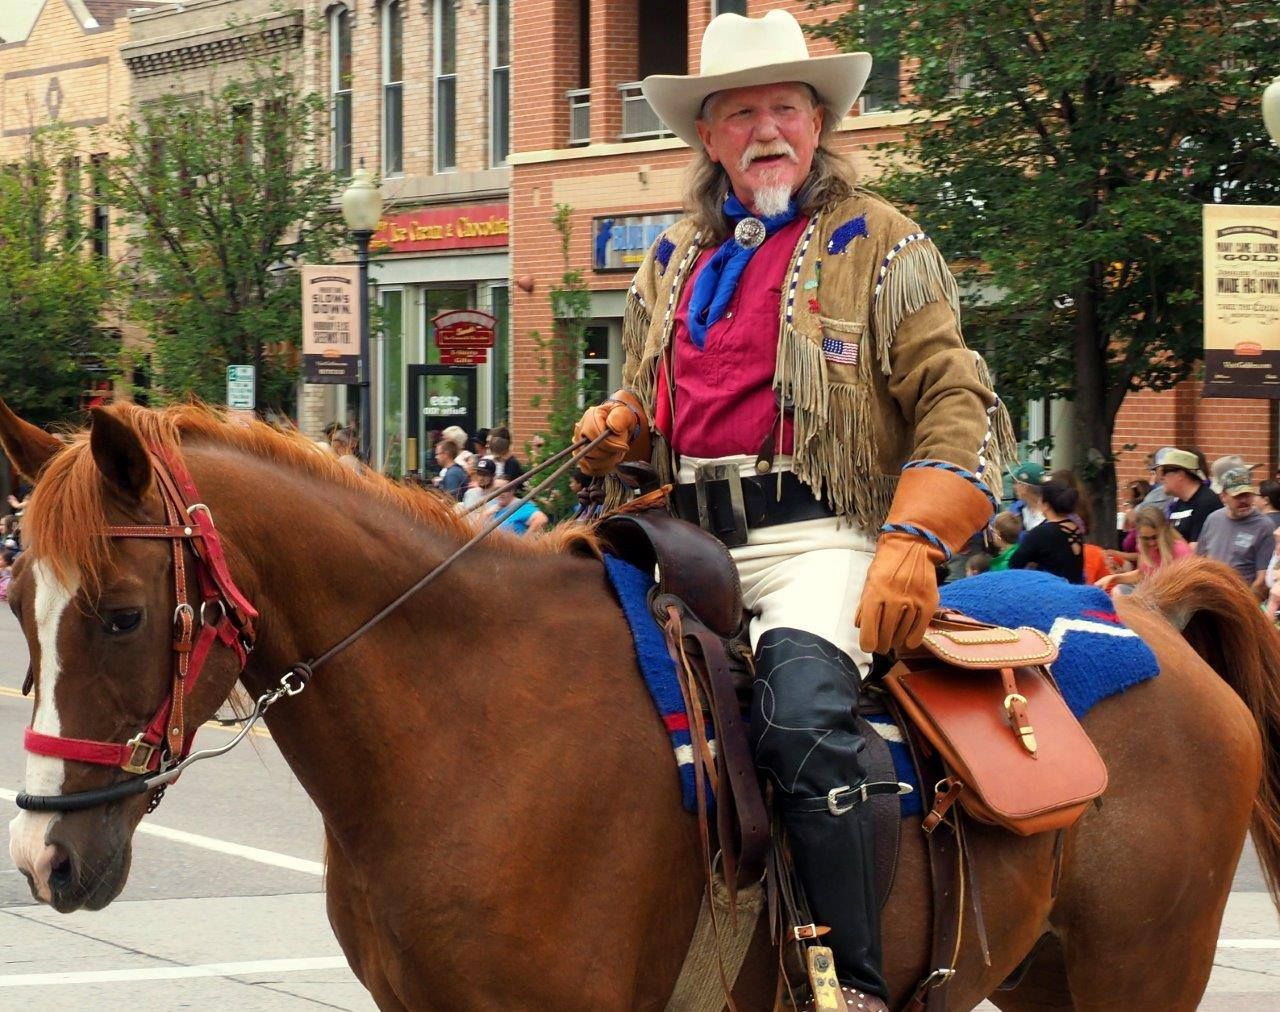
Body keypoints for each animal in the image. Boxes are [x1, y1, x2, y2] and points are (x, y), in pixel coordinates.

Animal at [7, 399, 1280, 1008]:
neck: (467, 722)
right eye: (20, 599)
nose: (45, 860)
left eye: (120, 613)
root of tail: (1142, 599)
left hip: (1140, 973)